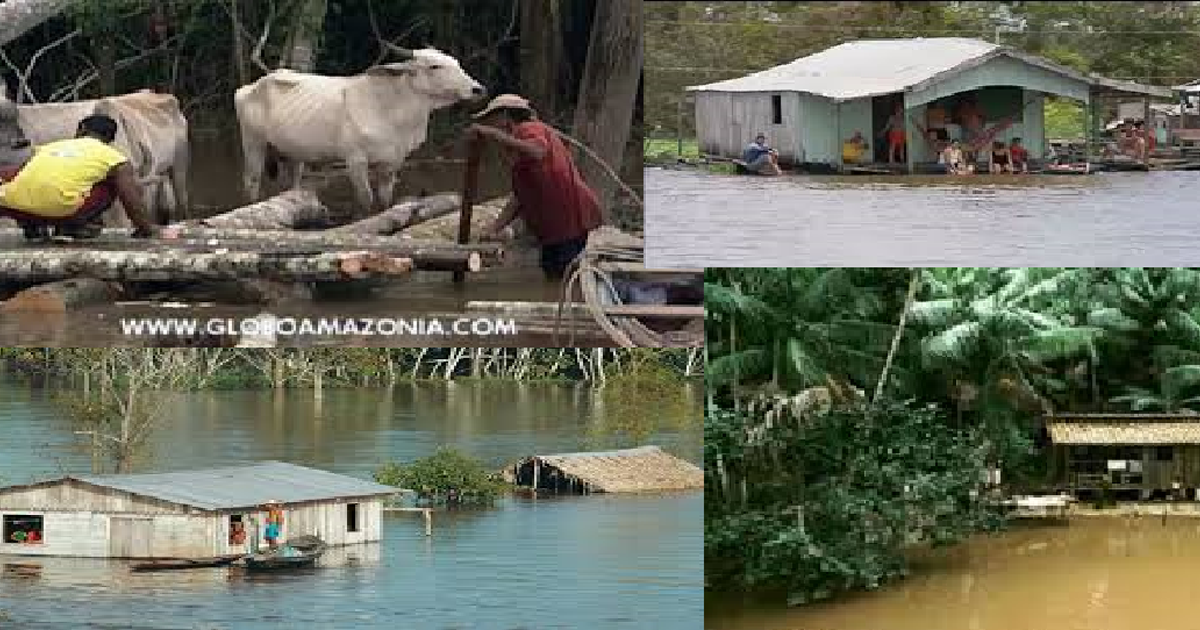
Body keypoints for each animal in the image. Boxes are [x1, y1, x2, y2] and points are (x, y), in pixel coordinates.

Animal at [235, 47, 487, 208]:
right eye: (434, 66)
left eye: (457, 63)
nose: (478, 89)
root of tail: (251, 86)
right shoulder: (355, 161)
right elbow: (366, 200)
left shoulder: (393, 162)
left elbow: (385, 201)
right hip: (253, 144)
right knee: (251, 182)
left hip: (293, 155)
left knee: (291, 186)